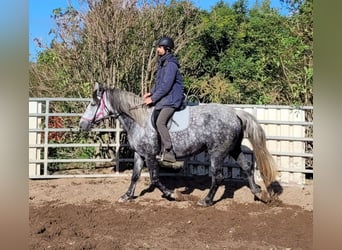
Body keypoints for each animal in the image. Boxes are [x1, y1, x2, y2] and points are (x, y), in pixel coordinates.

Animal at [79, 82, 280, 205]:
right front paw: (126, 196)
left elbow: (154, 178)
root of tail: (235, 113)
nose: (82, 125)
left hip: (217, 153)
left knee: (218, 177)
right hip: (234, 149)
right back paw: (259, 194)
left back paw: (206, 201)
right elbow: (135, 176)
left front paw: (172, 194)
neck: (138, 120)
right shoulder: (139, 154)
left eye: (92, 104)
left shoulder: (150, 155)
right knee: (246, 168)